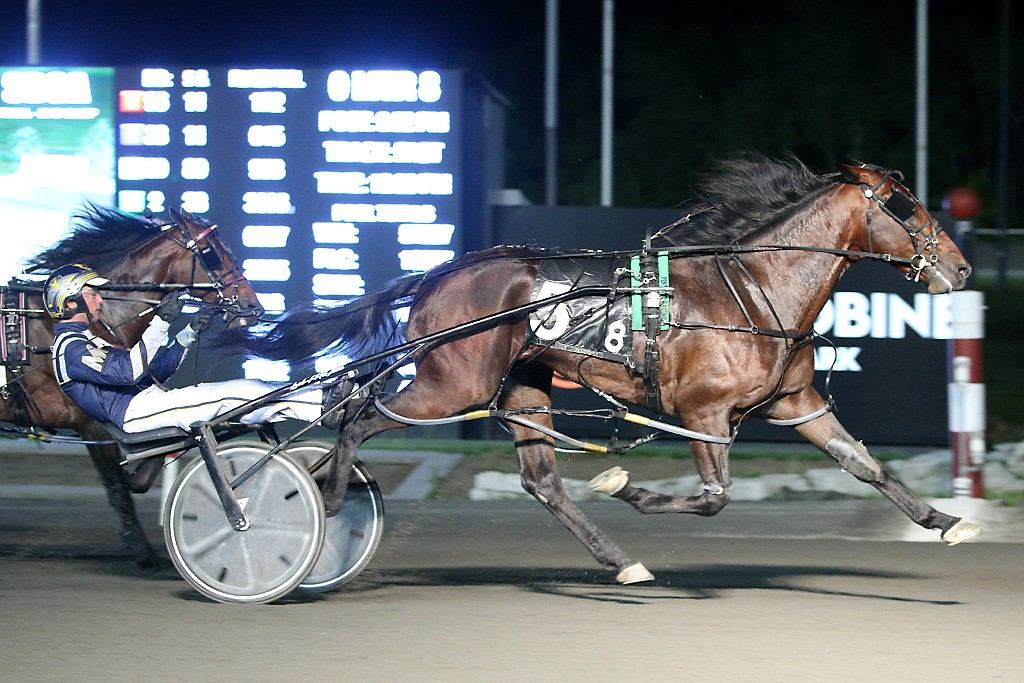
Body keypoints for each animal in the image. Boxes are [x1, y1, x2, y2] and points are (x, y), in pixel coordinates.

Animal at [224, 157, 974, 585]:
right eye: (904, 205)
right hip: (452, 383)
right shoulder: (703, 412)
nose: (962, 267)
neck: (752, 286)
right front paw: (626, 486)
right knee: (357, 416)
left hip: (521, 387)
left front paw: (943, 519)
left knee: (542, 482)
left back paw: (620, 561)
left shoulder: (794, 403)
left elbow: (865, 464)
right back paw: (318, 504)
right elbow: (713, 497)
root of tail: (439, 273)